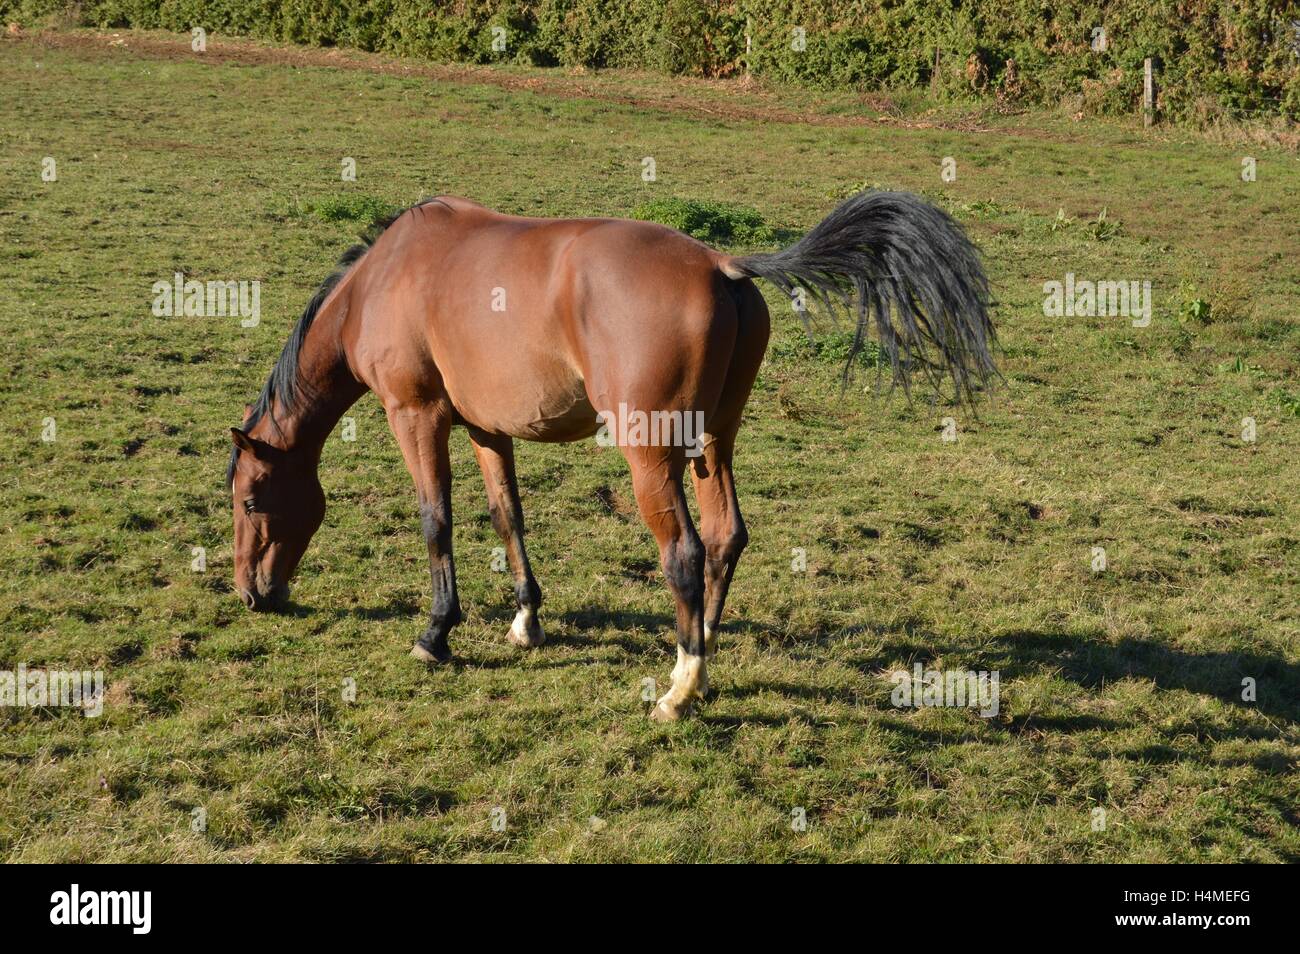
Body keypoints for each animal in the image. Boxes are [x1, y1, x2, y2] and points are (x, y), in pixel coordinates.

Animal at [228, 192, 993, 717]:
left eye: (250, 499)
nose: (250, 594)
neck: (381, 283)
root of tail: (720, 265)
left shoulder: (417, 416)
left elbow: (435, 521)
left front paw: (436, 632)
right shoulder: (486, 429)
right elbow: (508, 516)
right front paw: (526, 620)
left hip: (650, 456)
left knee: (683, 552)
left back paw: (680, 689)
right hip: (713, 442)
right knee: (725, 537)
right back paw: (702, 648)